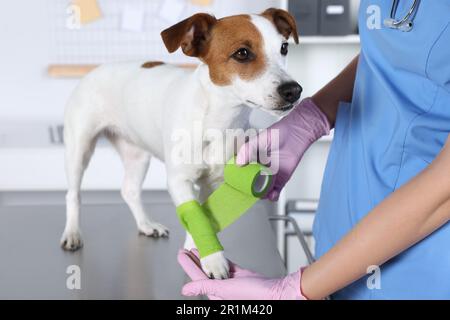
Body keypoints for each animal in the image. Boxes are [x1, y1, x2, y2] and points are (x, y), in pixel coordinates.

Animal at [61, 6, 302, 278]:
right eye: (242, 53)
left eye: (284, 48)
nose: (294, 90)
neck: (216, 120)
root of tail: (95, 70)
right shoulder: (179, 180)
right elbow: (195, 213)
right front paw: (213, 260)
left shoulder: (212, 183)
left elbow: (202, 216)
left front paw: (196, 253)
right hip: (79, 149)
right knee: (73, 195)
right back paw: (72, 233)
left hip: (137, 155)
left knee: (129, 190)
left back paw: (146, 225)